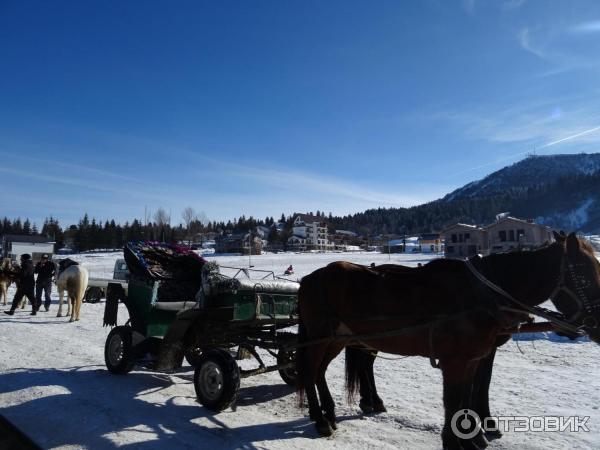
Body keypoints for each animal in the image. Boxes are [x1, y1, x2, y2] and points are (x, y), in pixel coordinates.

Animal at [296, 232, 600, 450]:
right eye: (584, 274)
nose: (595, 326)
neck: (481, 295)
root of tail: (310, 278)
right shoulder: (457, 361)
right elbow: (454, 398)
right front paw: (459, 439)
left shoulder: (475, 356)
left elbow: (469, 393)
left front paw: (475, 435)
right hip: (320, 337)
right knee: (310, 371)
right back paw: (321, 419)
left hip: (338, 338)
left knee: (325, 371)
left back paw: (334, 411)